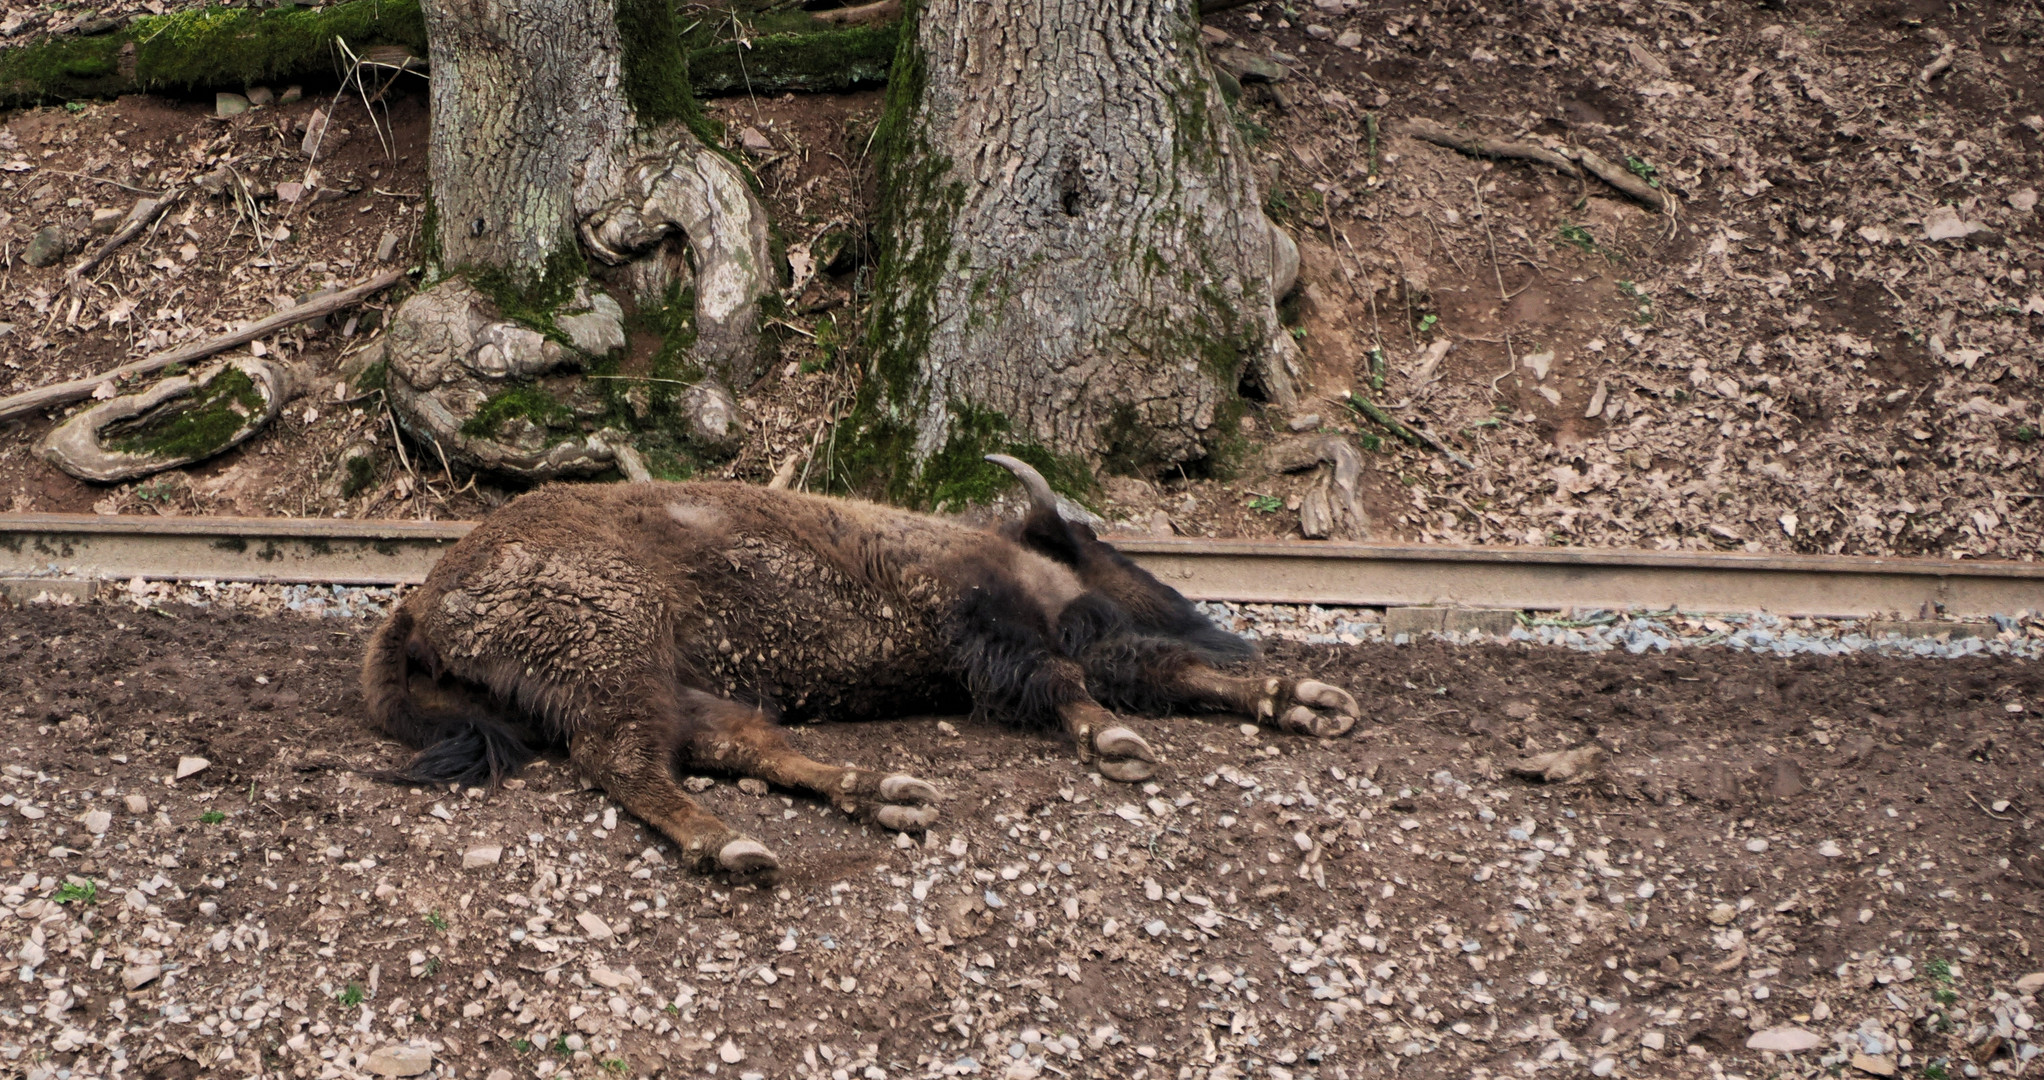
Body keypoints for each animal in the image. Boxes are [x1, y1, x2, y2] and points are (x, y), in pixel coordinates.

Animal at [367, 458, 1357, 875]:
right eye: (1096, 546)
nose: (1205, 617)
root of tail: (425, 595)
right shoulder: (986, 626)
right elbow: (1067, 682)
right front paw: (1113, 743)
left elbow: (1153, 672)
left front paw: (1306, 700)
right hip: (623, 652)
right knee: (626, 759)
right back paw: (735, 847)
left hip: (668, 680)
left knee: (730, 746)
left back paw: (885, 797)